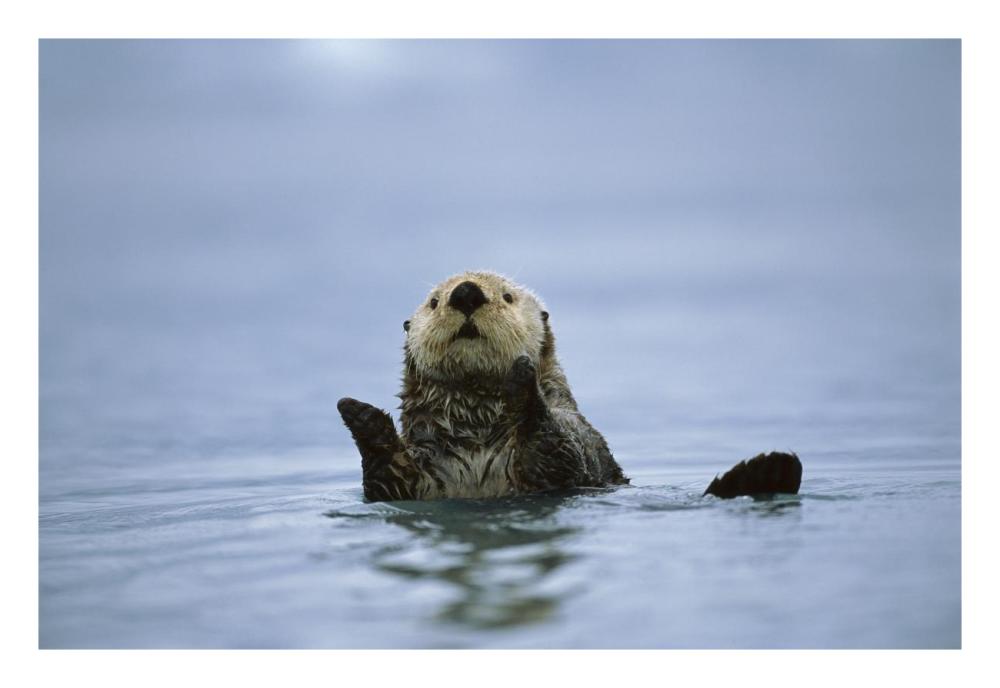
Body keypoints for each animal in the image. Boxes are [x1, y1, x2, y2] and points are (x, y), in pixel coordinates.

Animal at [338, 271, 801, 502]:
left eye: (507, 296)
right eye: (434, 301)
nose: (465, 293)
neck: (476, 432)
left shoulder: (566, 447)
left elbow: (556, 447)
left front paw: (523, 380)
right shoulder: (420, 476)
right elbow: (388, 477)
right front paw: (357, 413)